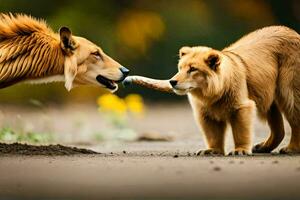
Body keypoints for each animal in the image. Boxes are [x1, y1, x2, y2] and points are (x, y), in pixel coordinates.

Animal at [124, 25, 300, 155]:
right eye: (180, 68)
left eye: (192, 69)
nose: (172, 81)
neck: (210, 93)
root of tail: (293, 32)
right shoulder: (205, 113)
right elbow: (213, 133)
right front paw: (211, 151)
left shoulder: (241, 106)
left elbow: (241, 130)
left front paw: (241, 150)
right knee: (278, 128)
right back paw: (262, 147)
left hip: (289, 91)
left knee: (294, 118)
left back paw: (291, 149)